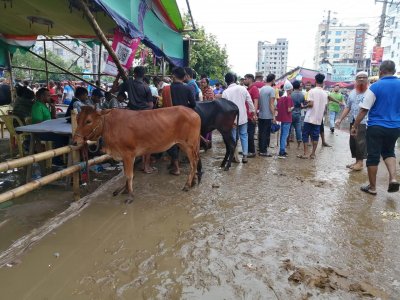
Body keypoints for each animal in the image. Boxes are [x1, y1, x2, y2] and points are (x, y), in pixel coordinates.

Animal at [73, 106, 202, 204]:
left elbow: (129, 175)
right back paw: (193, 182)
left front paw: (130, 196)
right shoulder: (123, 156)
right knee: (195, 162)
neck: (109, 125)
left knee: (193, 163)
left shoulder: (128, 154)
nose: (74, 141)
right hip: (185, 145)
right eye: (77, 120)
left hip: (189, 145)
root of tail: (194, 113)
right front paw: (124, 190)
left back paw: (187, 184)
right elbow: (125, 174)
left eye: (88, 121)